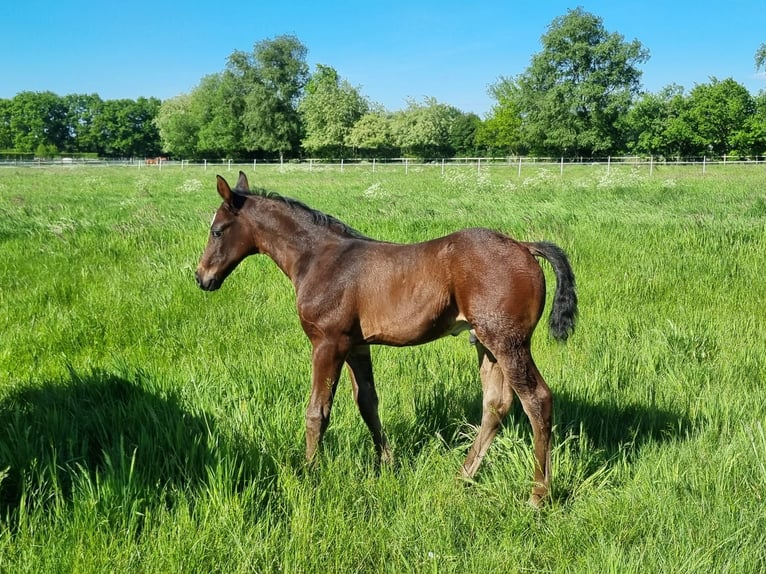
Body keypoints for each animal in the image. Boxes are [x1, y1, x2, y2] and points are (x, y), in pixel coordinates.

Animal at [195, 173, 580, 506]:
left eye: (217, 230)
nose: (202, 278)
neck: (319, 259)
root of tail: (525, 246)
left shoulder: (327, 343)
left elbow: (317, 411)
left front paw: (310, 472)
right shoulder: (355, 345)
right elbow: (367, 402)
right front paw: (387, 464)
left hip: (508, 342)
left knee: (537, 400)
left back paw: (537, 495)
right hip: (486, 343)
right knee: (496, 404)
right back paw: (464, 476)